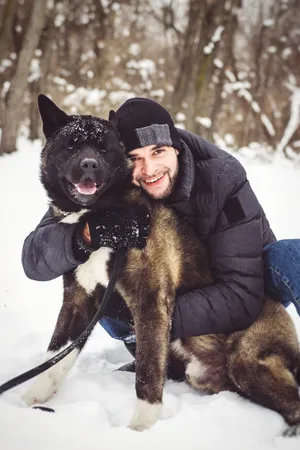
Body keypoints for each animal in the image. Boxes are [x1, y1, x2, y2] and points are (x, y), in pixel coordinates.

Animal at [22, 96, 300, 436]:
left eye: (103, 149)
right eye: (72, 146)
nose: (89, 164)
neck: (106, 217)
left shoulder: (149, 302)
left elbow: (148, 373)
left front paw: (139, 429)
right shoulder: (78, 299)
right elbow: (56, 355)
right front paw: (33, 396)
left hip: (247, 362)